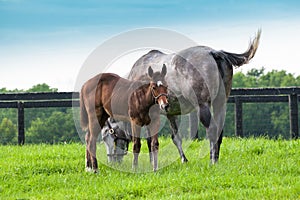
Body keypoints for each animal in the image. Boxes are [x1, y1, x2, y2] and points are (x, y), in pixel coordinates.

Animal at [126, 30, 260, 164]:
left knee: (212, 129)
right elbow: (175, 138)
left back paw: (212, 161)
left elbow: (151, 140)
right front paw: (182, 159)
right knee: (219, 132)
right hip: (220, 104)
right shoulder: (171, 114)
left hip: (202, 106)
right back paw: (215, 159)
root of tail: (213, 53)